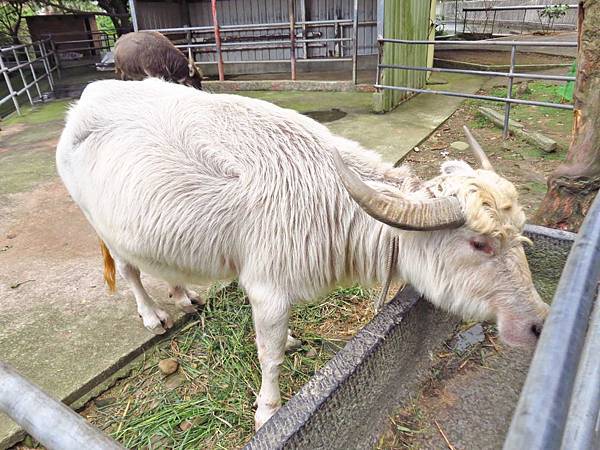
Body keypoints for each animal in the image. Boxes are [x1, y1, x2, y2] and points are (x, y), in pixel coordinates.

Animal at [56, 79, 548, 430]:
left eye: (519, 235)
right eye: (479, 243)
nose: (538, 323)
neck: (326, 198)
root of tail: (84, 103)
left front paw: (292, 340)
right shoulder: (267, 289)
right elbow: (269, 355)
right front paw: (268, 411)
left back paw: (184, 294)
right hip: (101, 226)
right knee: (130, 271)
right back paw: (153, 315)